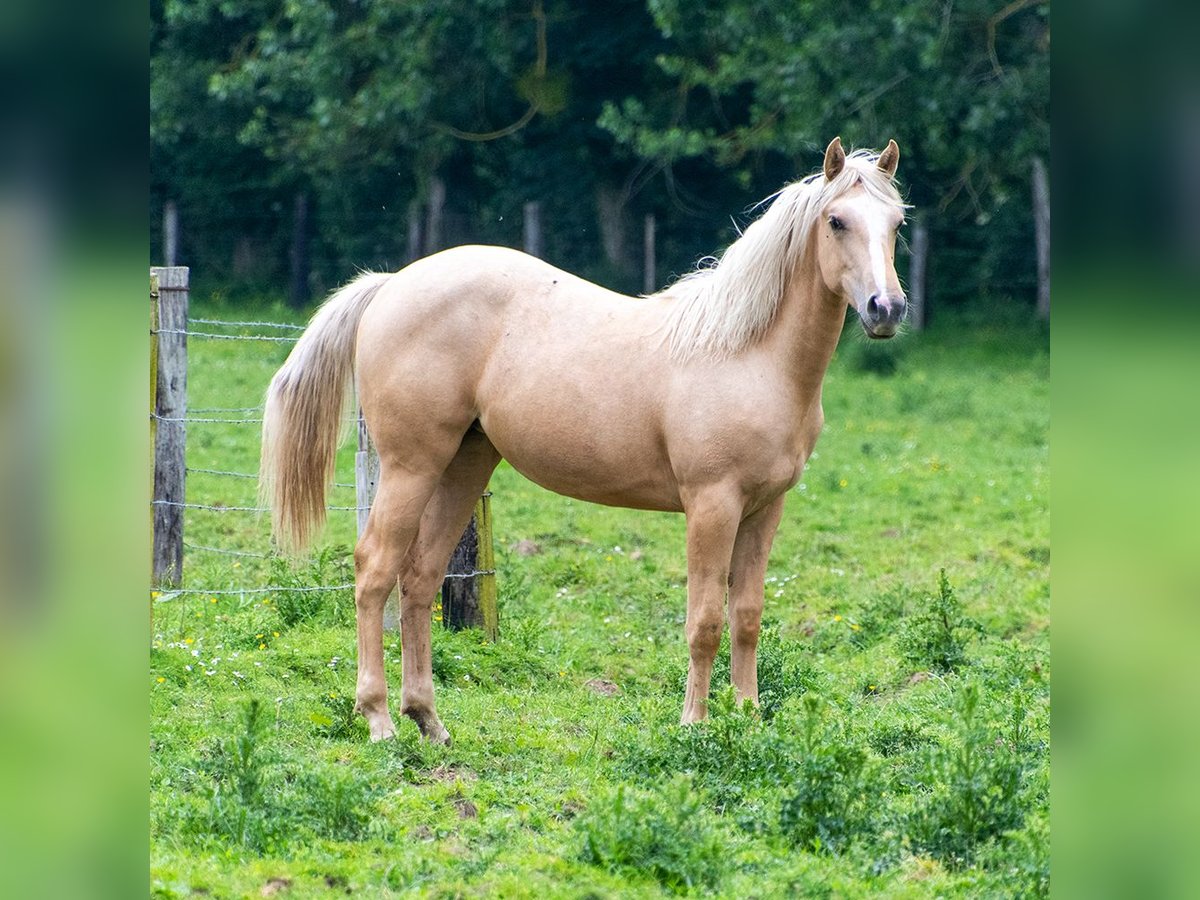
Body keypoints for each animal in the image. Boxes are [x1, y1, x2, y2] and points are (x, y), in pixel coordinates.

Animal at [260, 137, 902, 744]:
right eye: (836, 221)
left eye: (896, 222)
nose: (886, 308)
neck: (747, 354)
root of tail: (392, 284)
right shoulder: (712, 505)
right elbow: (705, 622)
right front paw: (694, 725)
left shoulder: (766, 509)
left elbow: (746, 616)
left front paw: (746, 719)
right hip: (411, 466)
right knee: (374, 571)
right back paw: (379, 720)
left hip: (463, 465)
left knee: (419, 578)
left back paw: (430, 721)